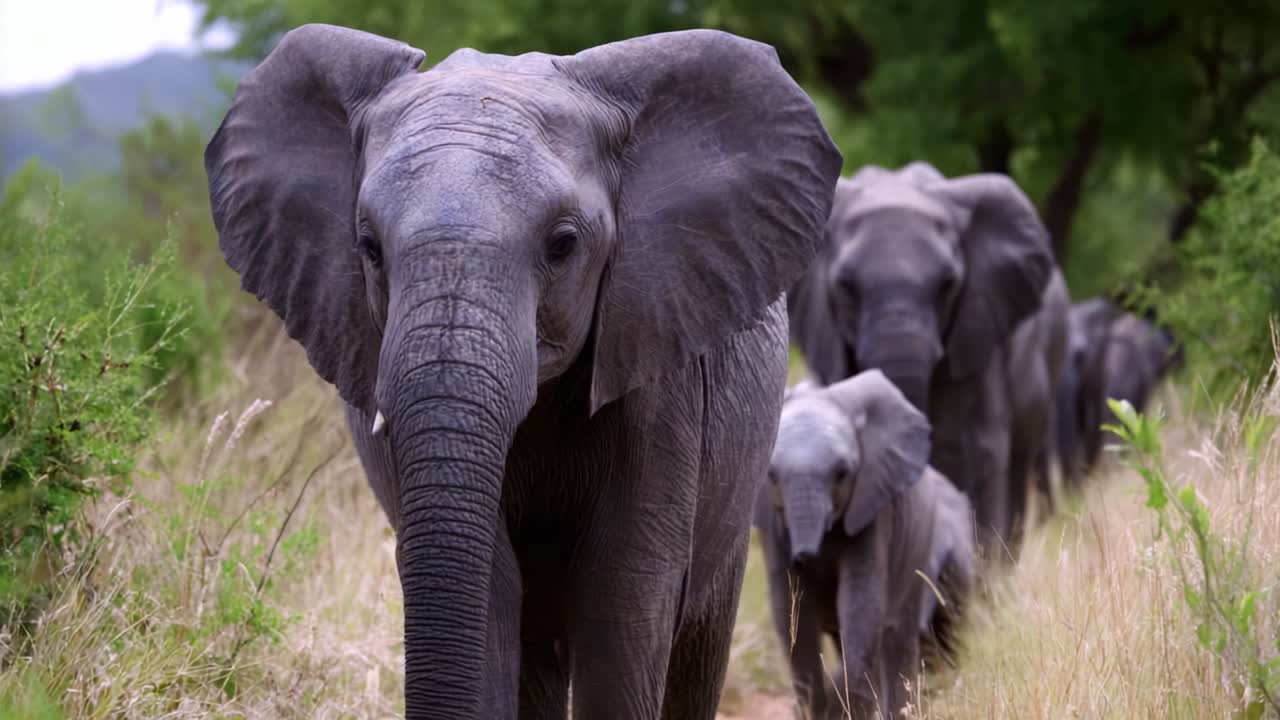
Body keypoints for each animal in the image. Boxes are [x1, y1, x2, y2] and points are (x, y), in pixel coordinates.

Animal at [754, 371, 977, 720]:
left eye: (842, 473)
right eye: (772, 476)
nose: (804, 555)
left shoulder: (874, 506)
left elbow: (861, 599)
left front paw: (844, 704)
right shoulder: (773, 525)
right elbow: (789, 607)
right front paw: (815, 706)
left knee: (897, 633)